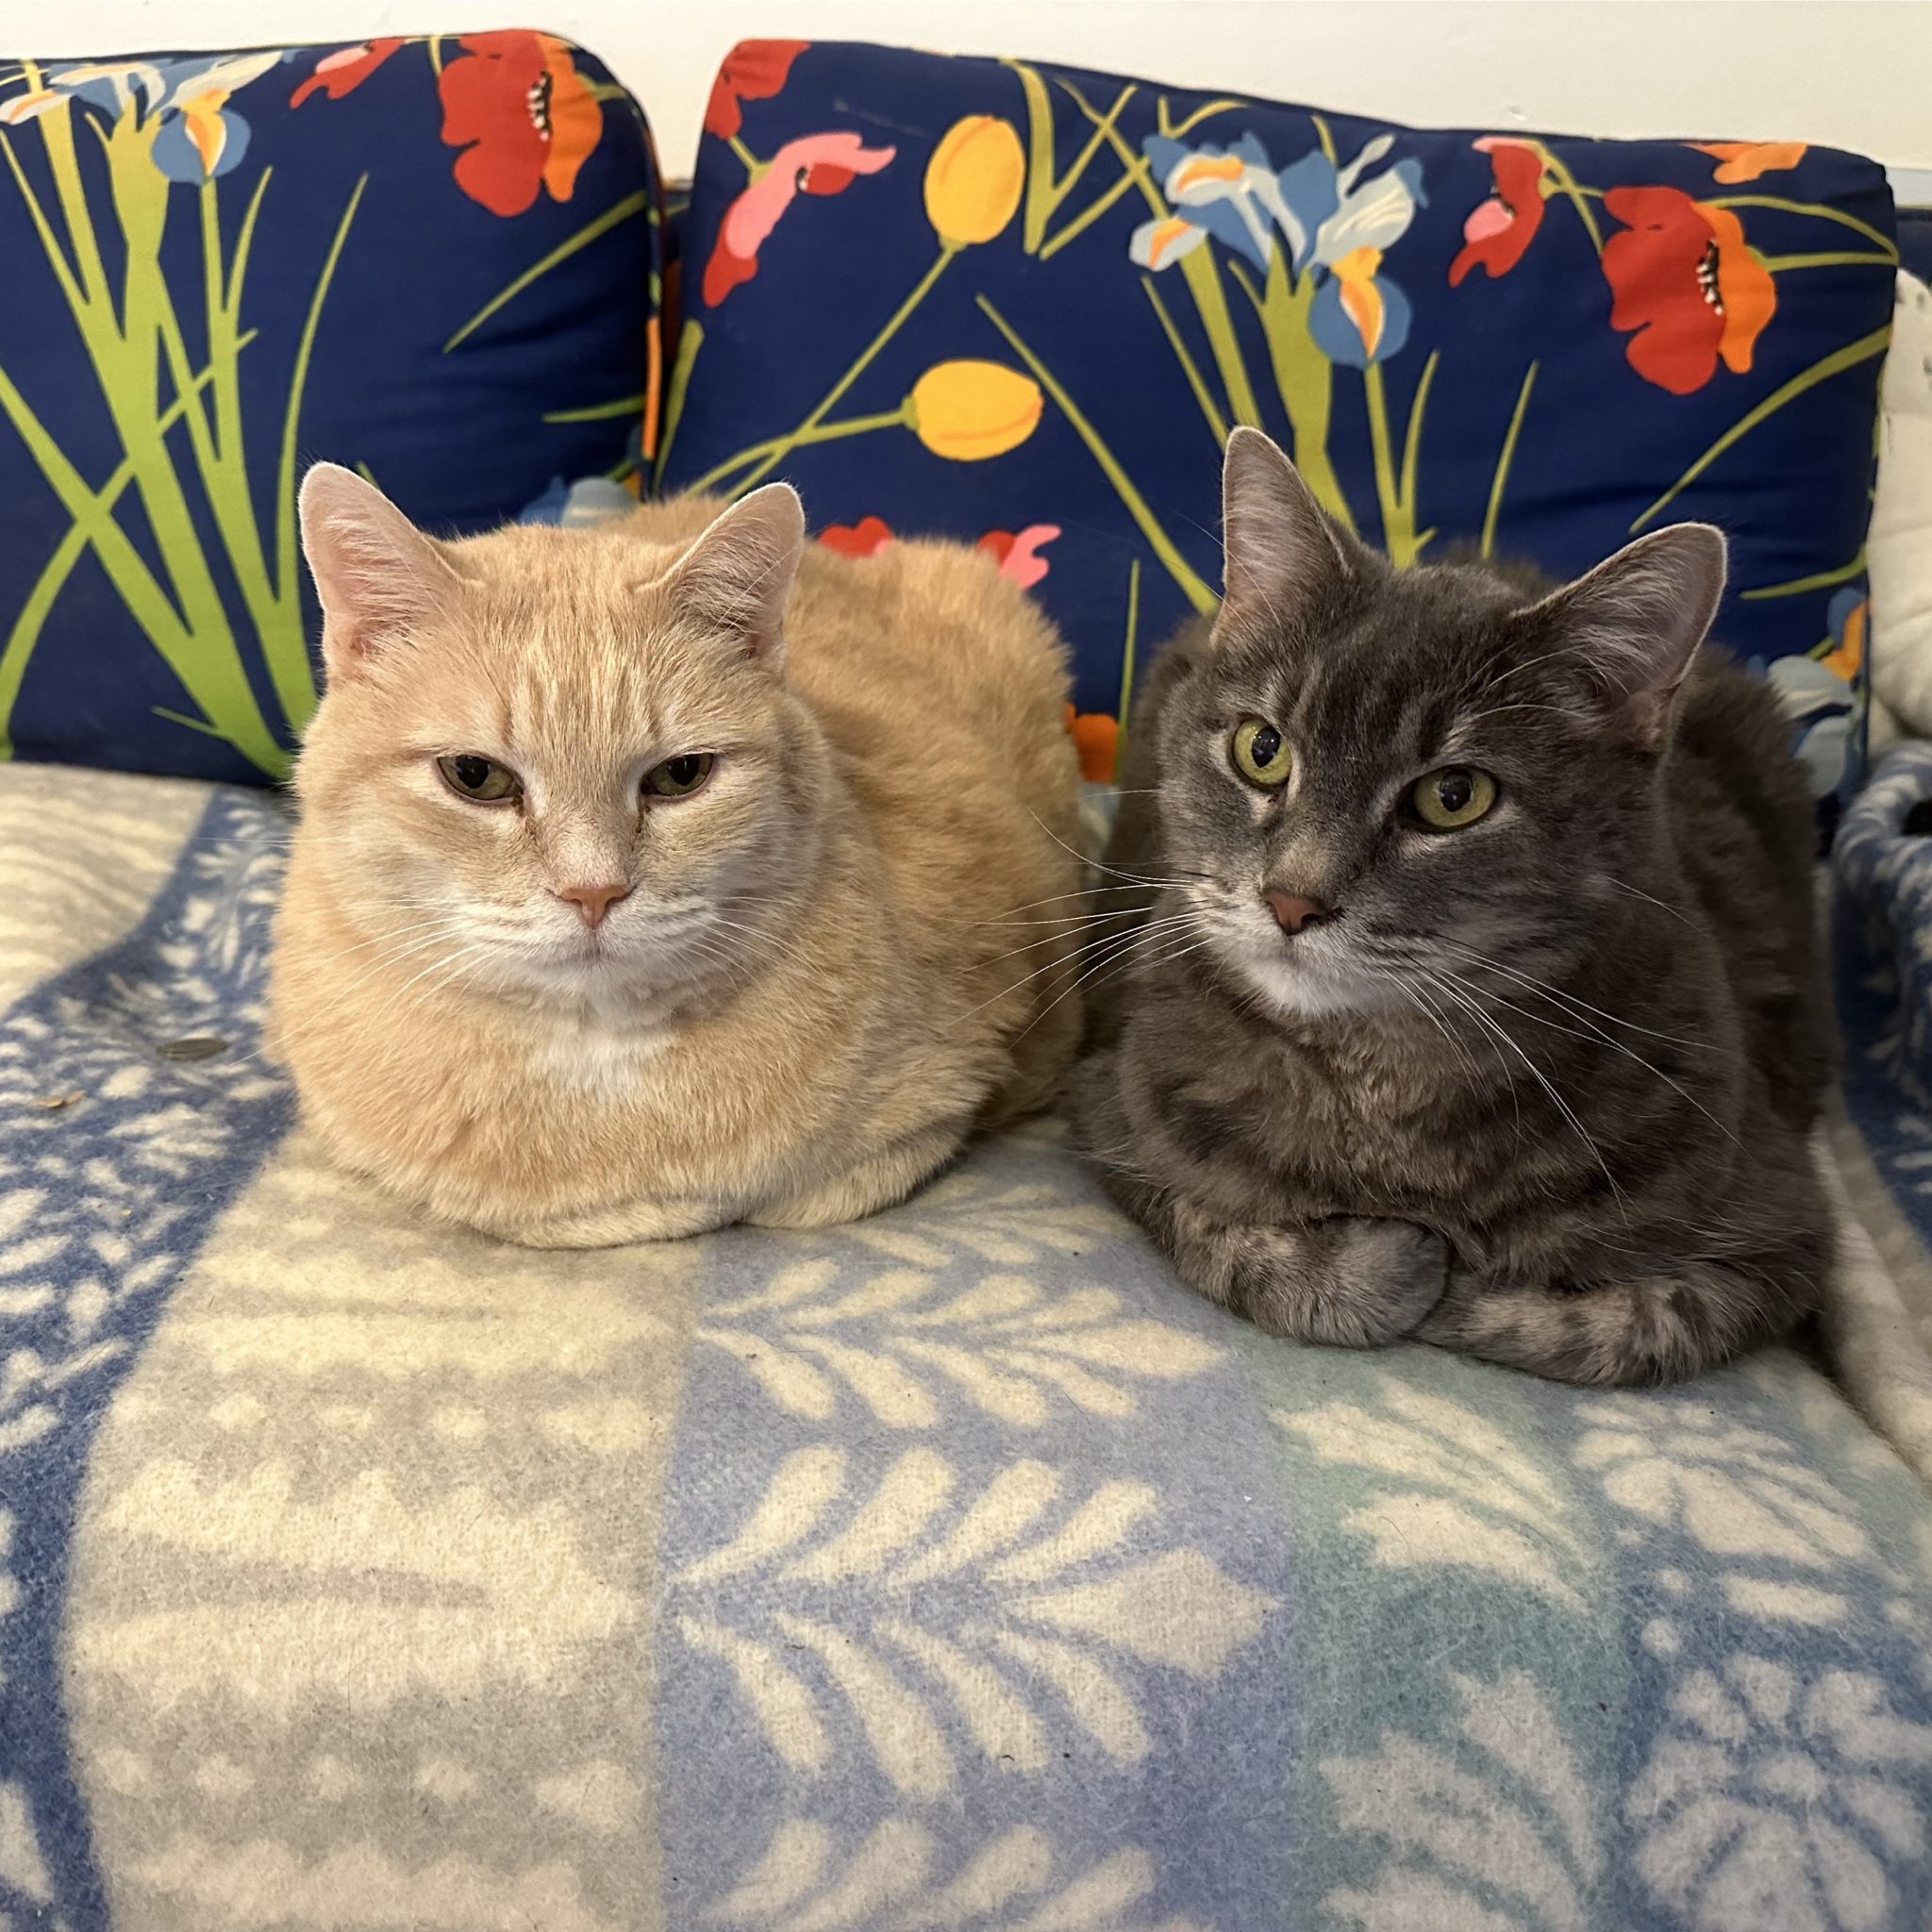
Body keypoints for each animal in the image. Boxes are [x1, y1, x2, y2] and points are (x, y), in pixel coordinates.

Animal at [270, 475, 1090, 1243]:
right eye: (475, 777)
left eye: (679, 776)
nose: (593, 892)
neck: (596, 1065)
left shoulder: (952, 1097)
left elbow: (784, 1197)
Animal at [1081, 428, 1831, 1383]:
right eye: (1262, 749)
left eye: (1453, 798)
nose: (1290, 898)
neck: (1376, 1091)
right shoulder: (1118, 1113)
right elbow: (1244, 1241)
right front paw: (1398, 1259)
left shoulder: (1780, 1231)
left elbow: (1608, 1322)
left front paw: (1457, 1275)